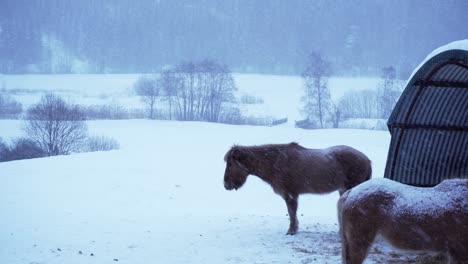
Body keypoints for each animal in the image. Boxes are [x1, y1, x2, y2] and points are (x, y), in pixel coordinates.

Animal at [223, 143, 372, 234]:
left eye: (230, 164)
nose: (226, 185)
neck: (274, 162)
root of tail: (367, 159)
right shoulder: (293, 194)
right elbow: (293, 211)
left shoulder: (288, 194)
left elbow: (291, 212)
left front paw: (291, 230)